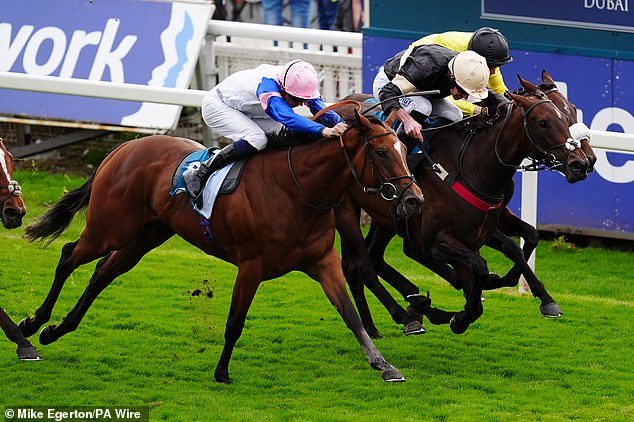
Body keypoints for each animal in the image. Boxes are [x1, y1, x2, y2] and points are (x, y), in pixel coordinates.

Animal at [19, 108, 422, 382]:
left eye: (405, 149)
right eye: (382, 153)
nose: (414, 199)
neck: (297, 189)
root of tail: (122, 149)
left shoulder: (323, 262)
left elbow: (350, 315)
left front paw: (384, 364)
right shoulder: (251, 266)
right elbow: (235, 322)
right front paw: (222, 372)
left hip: (144, 237)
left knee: (102, 273)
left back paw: (56, 330)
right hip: (110, 228)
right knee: (69, 256)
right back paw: (33, 323)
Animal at [338, 77, 592, 336]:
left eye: (569, 114)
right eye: (543, 123)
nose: (581, 163)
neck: (471, 166)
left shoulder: (487, 224)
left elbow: (524, 240)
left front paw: (543, 298)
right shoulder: (436, 241)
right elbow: (481, 264)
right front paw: (462, 314)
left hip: (385, 219)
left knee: (373, 257)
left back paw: (395, 316)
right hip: (346, 209)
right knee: (359, 264)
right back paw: (399, 317)